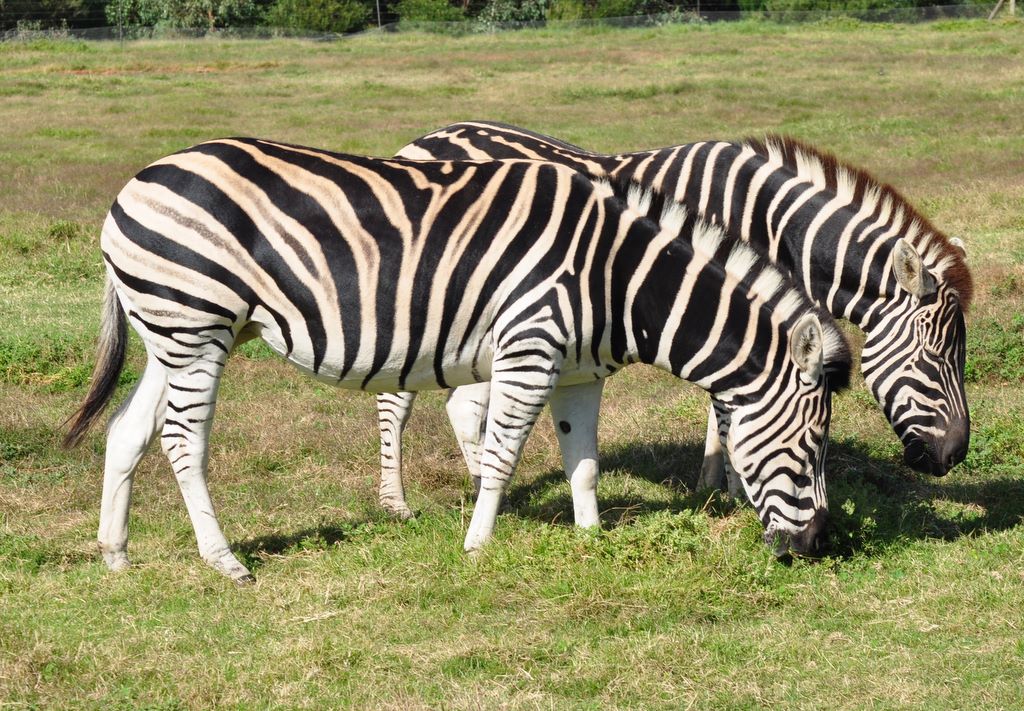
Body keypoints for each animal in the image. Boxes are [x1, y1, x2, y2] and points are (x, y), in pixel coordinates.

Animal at [63, 137, 851, 582]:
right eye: (813, 442)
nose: (817, 546)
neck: (616, 275)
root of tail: (138, 181)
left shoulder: (579, 371)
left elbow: (583, 462)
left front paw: (589, 539)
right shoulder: (530, 347)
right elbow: (501, 456)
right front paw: (476, 547)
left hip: (174, 332)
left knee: (128, 431)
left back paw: (115, 554)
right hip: (195, 324)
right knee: (182, 439)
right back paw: (224, 560)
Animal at [371, 121, 972, 514]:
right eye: (932, 359)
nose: (954, 457)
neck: (765, 223)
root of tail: (422, 139)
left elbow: (725, 403)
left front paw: (715, 479)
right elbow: (728, 407)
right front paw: (736, 490)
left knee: (463, 403)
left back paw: (481, 486)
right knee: (395, 402)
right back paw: (396, 504)